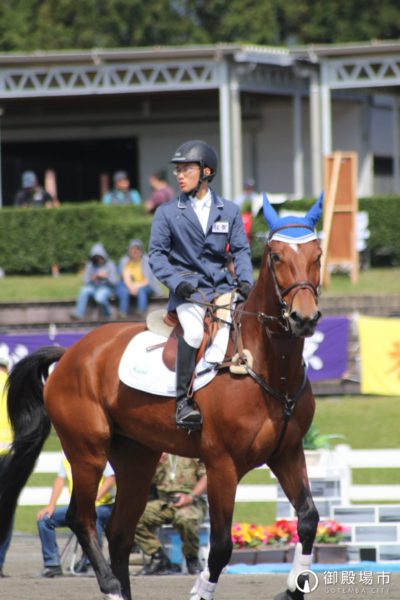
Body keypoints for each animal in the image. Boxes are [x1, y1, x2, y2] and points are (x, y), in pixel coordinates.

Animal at [0, 198, 324, 600]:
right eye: (276, 256)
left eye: (318, 255)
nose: (303, 318)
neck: (268, 365)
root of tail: (72, 353)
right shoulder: (222, 464)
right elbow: (220, 546)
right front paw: (200, 591)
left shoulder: (288, 453)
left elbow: (308, 519)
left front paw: (293, 588)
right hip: (88, 451)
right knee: (82, 518)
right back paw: (111, 588)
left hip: (136, 458)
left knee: (119, 532)